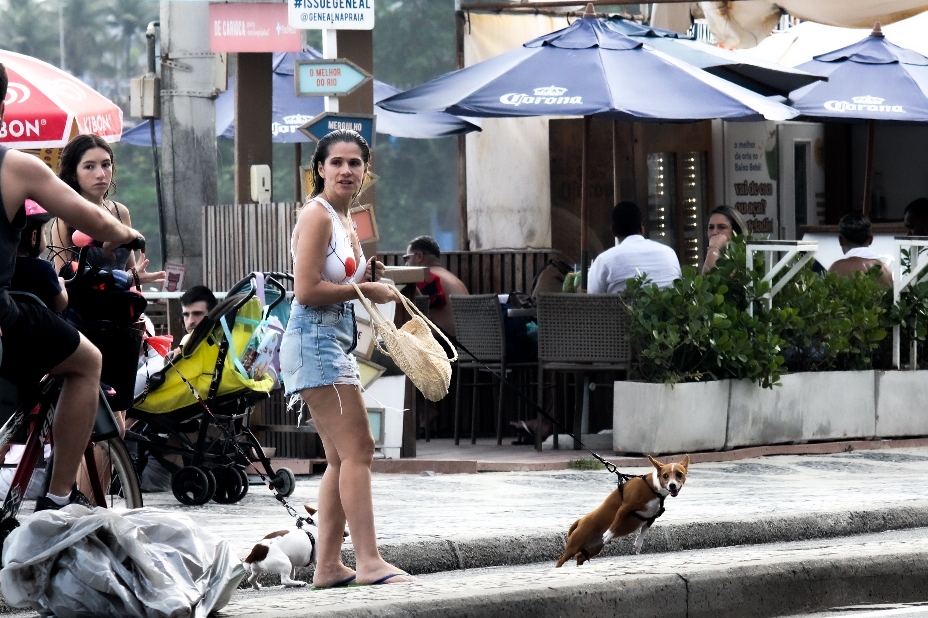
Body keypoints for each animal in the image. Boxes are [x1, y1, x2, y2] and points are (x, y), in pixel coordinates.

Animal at [552, 452, 688, 568]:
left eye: (679, 474)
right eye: (665, 475)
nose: (672, 485)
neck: (652, 488)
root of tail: (580, 520)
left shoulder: (651, 517)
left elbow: (644, 530)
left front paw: (638, 543)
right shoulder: (625, 507)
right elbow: (616, 521)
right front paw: (608, 534)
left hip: (594, 548)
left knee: (580, 557)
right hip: (574, 546)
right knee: (561, 559)